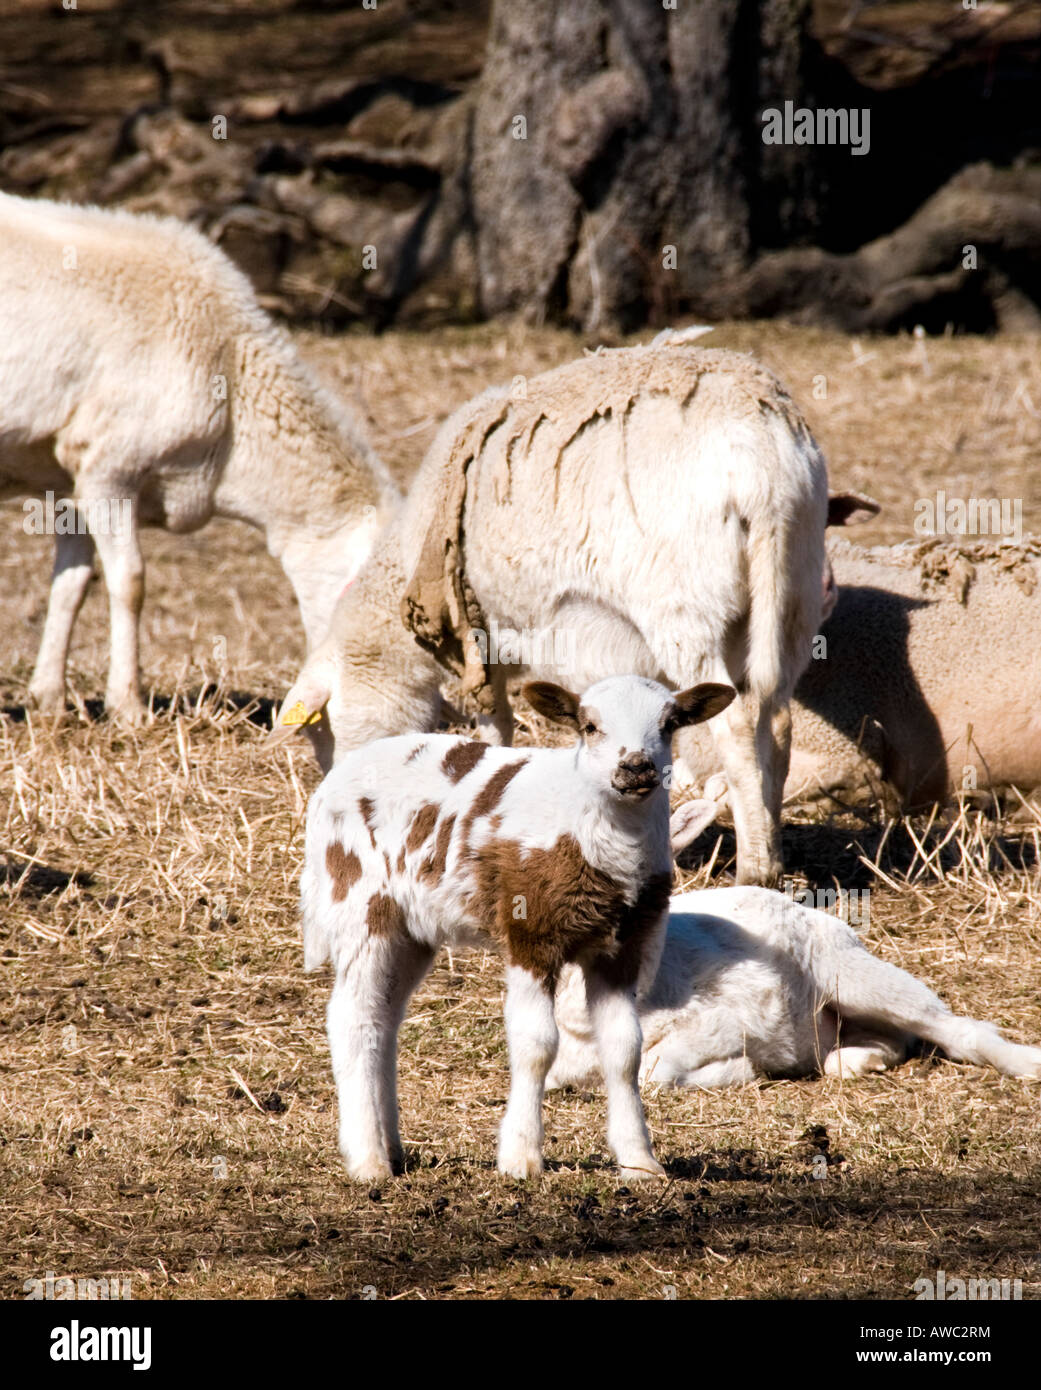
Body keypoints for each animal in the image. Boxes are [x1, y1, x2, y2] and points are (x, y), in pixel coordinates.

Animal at [0, 189, 397, 717]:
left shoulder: (73, 476)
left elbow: (72, 584)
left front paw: (50, 700)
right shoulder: (109, 466)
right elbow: (130, 582)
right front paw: (128, 707)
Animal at [273, 347, 828, 889]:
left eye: (324, 729)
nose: (337, 803)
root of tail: (764, 460)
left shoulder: (485, 635)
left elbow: (495, 725)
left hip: (685, 606)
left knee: (737, 725)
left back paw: (755, 868)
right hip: (794, 593)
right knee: (777, 722)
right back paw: (772, 846)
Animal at [298, 672, 728, 1184]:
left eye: (669, 724)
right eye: (589, 726)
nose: (636, 767)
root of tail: (328, 785)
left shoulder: (624, 944)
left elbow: (625, 1050)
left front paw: (639, 1161)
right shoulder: (531, 934)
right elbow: (536, 1043)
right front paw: (521, 1156)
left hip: (412, 929)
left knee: (384, 1020)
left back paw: (393, 1149)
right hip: (361, 901)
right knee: (353, 1017)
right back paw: (368, 1160)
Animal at [544, 884, 1039, 1089]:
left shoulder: (720, 1024)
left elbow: (654, 1072)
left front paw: (743, 1071)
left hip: (852, 972)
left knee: (958, 1030)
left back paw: (1027, 1063)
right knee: (887, 1039)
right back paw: (857, 1061)